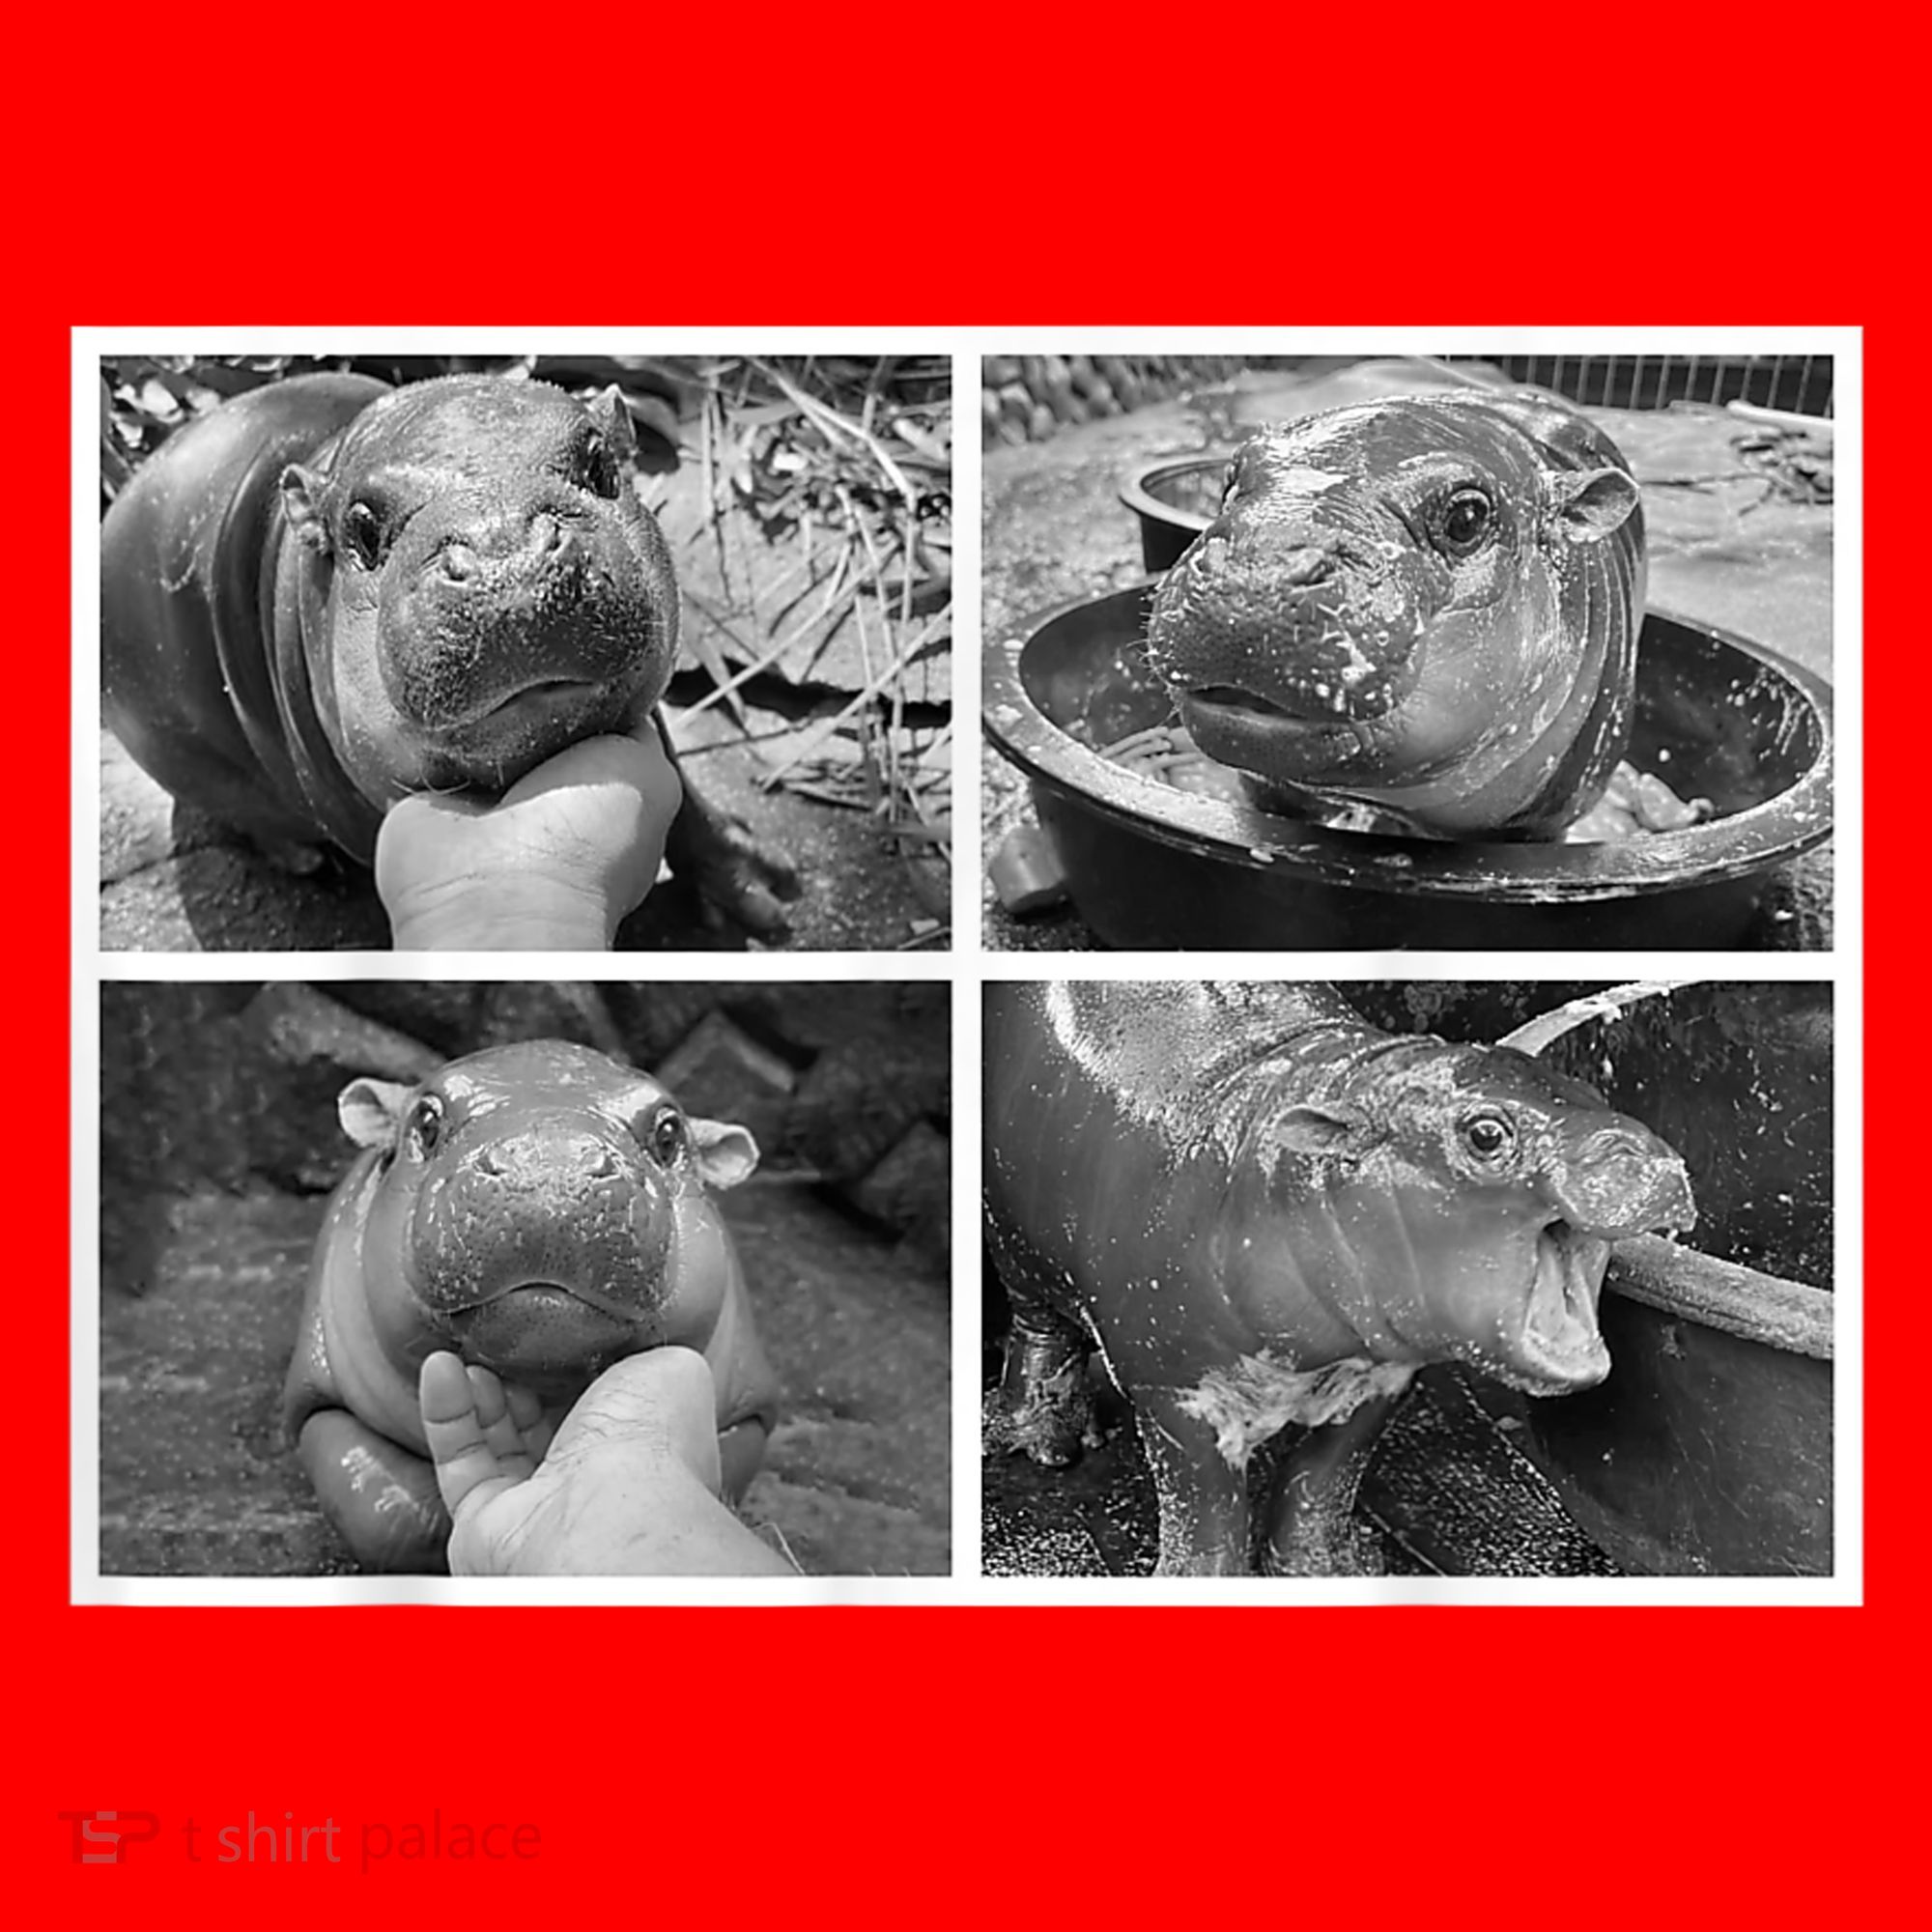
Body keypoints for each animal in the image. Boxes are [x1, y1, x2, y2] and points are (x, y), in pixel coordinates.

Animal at [101, 371, 796, 931]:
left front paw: (768, 896)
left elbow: (684, 793)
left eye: (602, 465)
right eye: (361, 527)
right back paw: (304, 860)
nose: (506, 551)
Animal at [282, 1039, 780, 1572]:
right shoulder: (319, 1401)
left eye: (669, 1133)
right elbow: (390, 1515)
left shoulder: (748, 1413)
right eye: (426, 1120)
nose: (549, 1167)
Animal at [983, 982, 1695, 1575]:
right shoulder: (1172, 1388)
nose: (1648, 1156)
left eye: (1597, 1094)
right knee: (1038, 1332)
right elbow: (1204, 1511)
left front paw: (1331, 1570)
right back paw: (1043, 1443)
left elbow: (1323, 1480)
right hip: (1014, 1244)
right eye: (1487, 1135)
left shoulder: (1381, 1376)